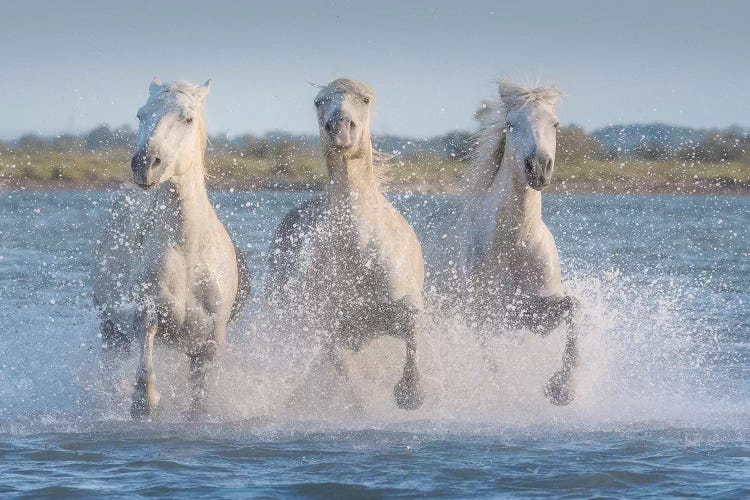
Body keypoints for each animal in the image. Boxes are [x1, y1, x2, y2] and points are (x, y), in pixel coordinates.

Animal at [92, 79, 251, 418]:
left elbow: (200, 398)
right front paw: (145, 403)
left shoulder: (209, 339)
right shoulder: (147, 314)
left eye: (187, 118)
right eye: (140, 114)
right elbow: (145, 378)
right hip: (111, 331)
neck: (187, 251)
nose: (144, 164)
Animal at [268, 77, 426, 406]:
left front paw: (411, 393)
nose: (340, 126)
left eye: (365, 99)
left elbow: (413, 325)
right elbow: (346, 376)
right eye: (319, 101)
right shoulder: (330, 329)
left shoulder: (401, 304)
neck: (357, 247)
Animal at [458, 79, 580, 406]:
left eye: (555, 123)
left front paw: (562, 388)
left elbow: (575, 308)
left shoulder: (533, 315)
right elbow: (492, 363)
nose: (537, 167)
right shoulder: (483, 317)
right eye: (511, 124)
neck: (515, 243)